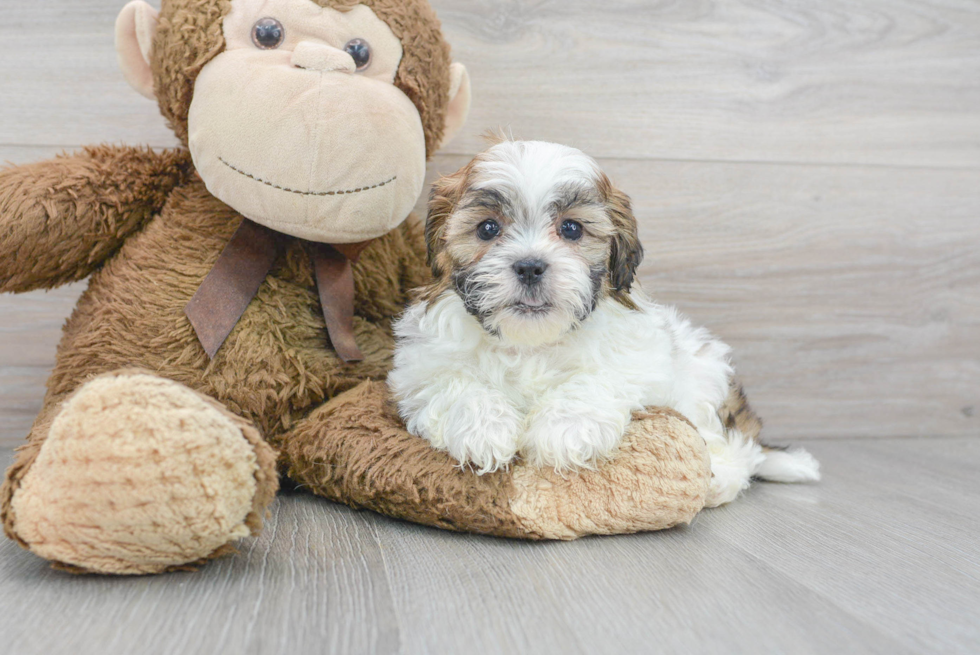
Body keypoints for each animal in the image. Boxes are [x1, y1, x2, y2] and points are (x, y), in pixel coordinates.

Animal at [388, 138, 820, 508]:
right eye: (487, 228)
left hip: (703, 376)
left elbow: (598, 377)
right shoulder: (419, 368)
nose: (529, 266)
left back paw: (718, 480)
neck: (531, 343)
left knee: (736, 448)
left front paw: (562, 429)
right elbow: (454, 382)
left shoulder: (640, 355)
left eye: (572, 228)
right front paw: (484, 429)